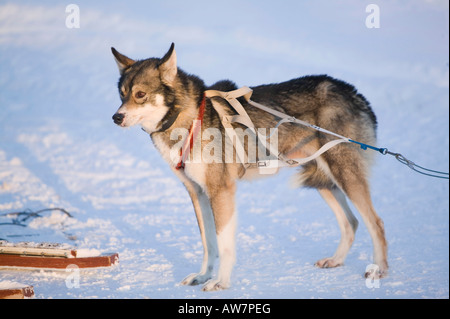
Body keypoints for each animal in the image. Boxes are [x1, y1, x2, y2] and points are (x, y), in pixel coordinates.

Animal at [111, 43, 386, 292]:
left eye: (140, 94)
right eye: (122, 94)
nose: (116, 117)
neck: (189, 119)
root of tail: (352, 92)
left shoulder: (221, 192)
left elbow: (224, 244)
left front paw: (220, 282)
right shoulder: (198, 193)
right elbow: (208, 243)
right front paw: (203, 275)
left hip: (344, 174)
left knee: (375, 222)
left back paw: (379, 269)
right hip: (325, 180)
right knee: (351, 222)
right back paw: (336, 260)